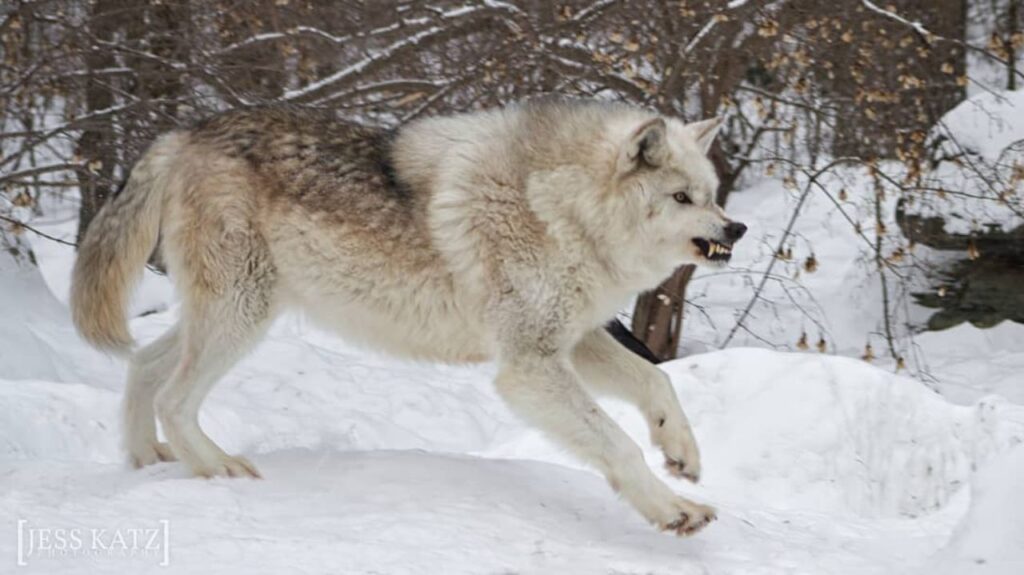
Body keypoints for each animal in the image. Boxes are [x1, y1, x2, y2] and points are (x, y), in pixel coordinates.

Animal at [71, 98, 746, 536]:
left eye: (712, 195)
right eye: (681, 198)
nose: (735, 228)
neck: (559, 207)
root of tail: (182, 135)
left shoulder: (572, 340)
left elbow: (655, 383)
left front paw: (681, 453)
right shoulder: (529, 366)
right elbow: (618, 443)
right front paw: (673, 509)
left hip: (232, 315)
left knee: (143, 364)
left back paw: (148, 458)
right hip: (240, 316)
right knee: (175, 396)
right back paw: (218, 468)